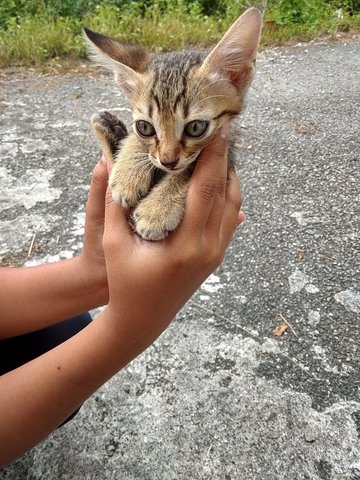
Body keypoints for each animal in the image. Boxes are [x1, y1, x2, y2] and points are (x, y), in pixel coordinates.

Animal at [84, 7, 262, 240]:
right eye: (145, 127)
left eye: (195, 128)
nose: (167, 161)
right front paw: (128, 173)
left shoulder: (228, 147)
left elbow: (188, 170)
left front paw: (158, 209)